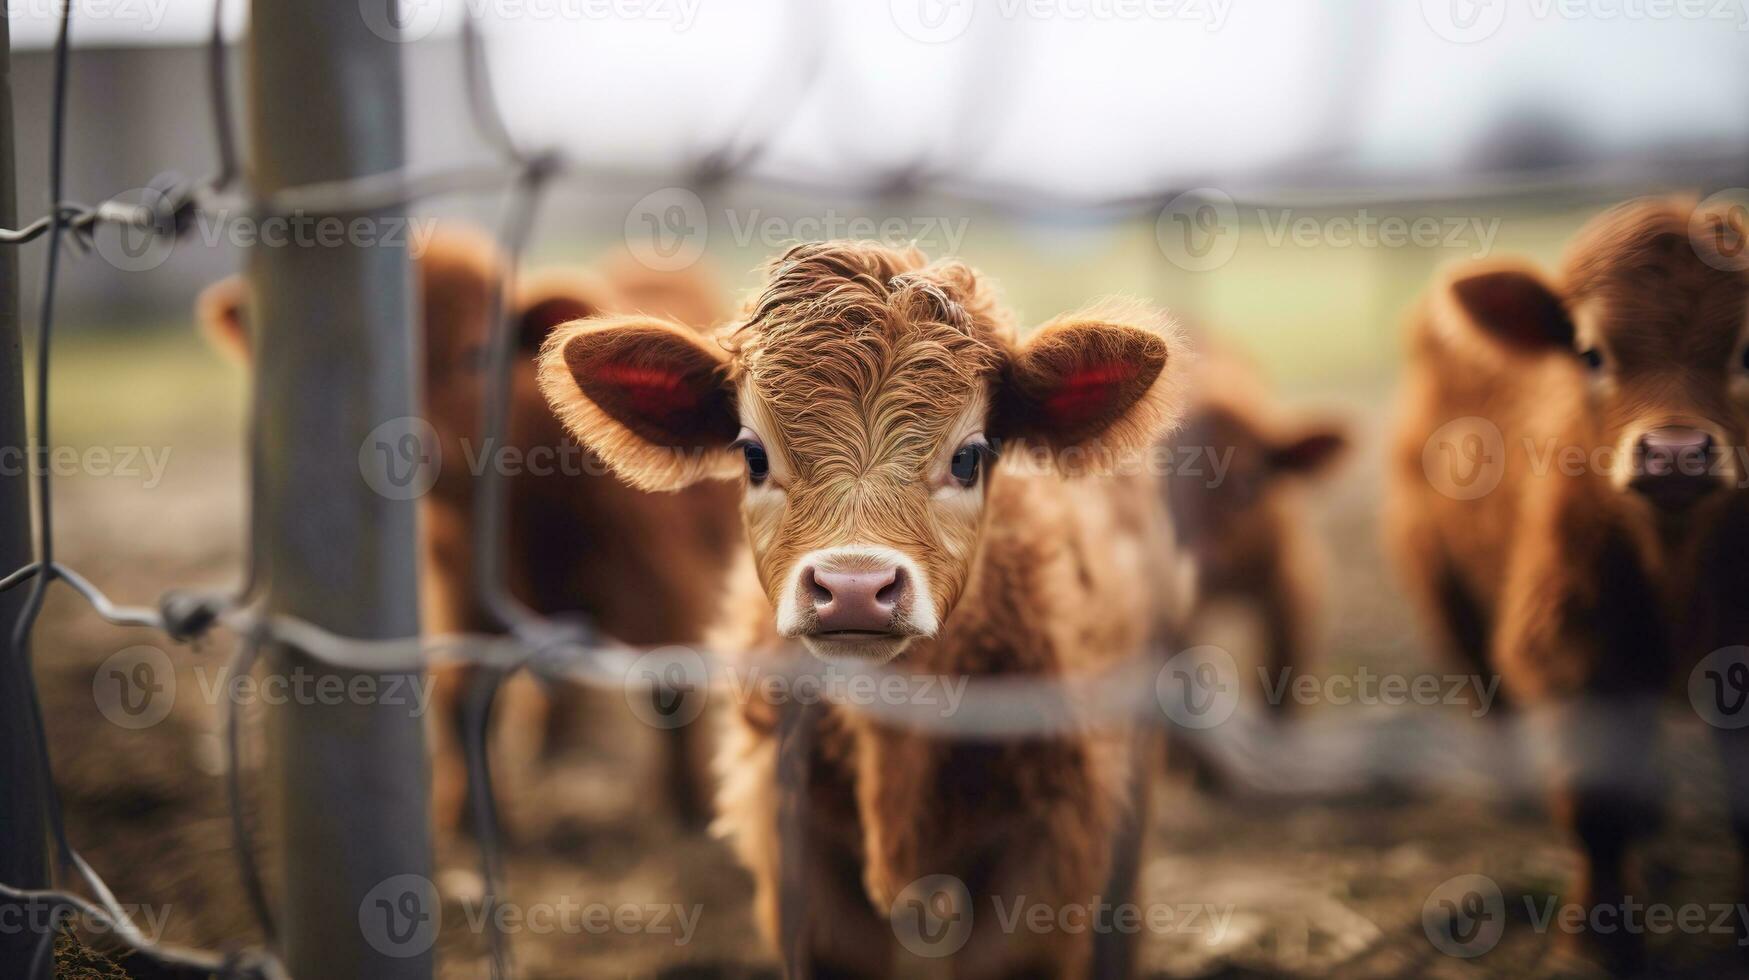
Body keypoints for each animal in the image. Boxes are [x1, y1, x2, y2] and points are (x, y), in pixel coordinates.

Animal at [200, 227, 745, 833]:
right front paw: (462, 812)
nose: (403, 448)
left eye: (478, 354)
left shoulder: (663, 586)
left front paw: (689, 805)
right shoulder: (460, 597)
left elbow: (673, 688)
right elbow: (465, 695)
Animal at [1385, 195, 1749, 966]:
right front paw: (1599, 940)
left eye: (1748, 351)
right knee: (1487, 691)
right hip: (1444, 585)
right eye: (1590, 354)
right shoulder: (1569, 654)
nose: (1675, 453)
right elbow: (1594, 810)